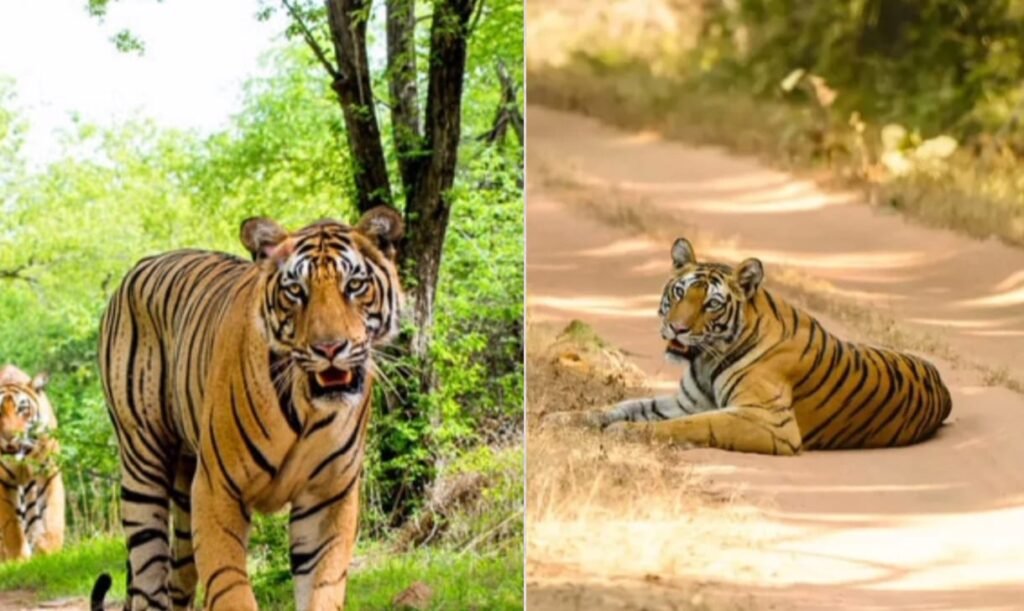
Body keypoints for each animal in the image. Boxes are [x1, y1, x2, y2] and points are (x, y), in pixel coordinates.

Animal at [0, 364, 64, 561]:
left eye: (22, 409)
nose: (9, 437)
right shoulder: (3, 481)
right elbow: (11, 525)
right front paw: (18, 559)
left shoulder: (48, 471)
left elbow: (52, 515)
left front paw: (50, 550)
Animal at [93, 207, 403, 610]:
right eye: (296, 291)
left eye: (354, 285)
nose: (329, 348)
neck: (307, 408)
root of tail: (144, 263)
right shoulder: (216, 489)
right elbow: (230, 589)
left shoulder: (328, 497)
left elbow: (323, 588)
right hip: (142, 463)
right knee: (148, 580)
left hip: (185, 496)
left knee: (177, 580)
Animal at [544, 237, 953, 454]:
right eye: (679, 292)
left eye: (711, 303)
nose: (676, 328)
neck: (705, 360)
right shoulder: (687, 402)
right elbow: (623, 405)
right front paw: (563, 418)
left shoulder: (770, 422)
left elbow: (694, 426)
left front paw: (627, 434)